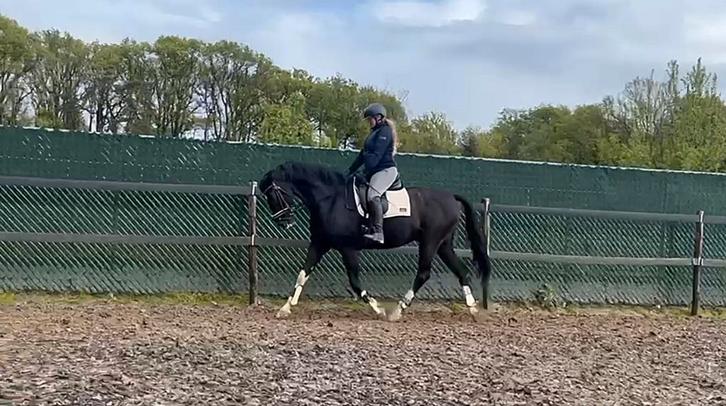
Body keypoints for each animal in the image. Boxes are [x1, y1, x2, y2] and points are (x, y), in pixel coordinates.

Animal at [258, 161, 492, 321]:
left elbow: (354, 281)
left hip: (430, 242)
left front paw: (377, 308)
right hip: (443, 244)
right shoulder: (319, 244)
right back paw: (472, 308)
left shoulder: (348, 248)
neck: (330, 199)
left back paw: (397, 310)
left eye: (272, 194)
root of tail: (451, 197)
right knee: (460, 270)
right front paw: (285, 308)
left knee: (424, 273)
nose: (283, 222)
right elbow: (302, 274)